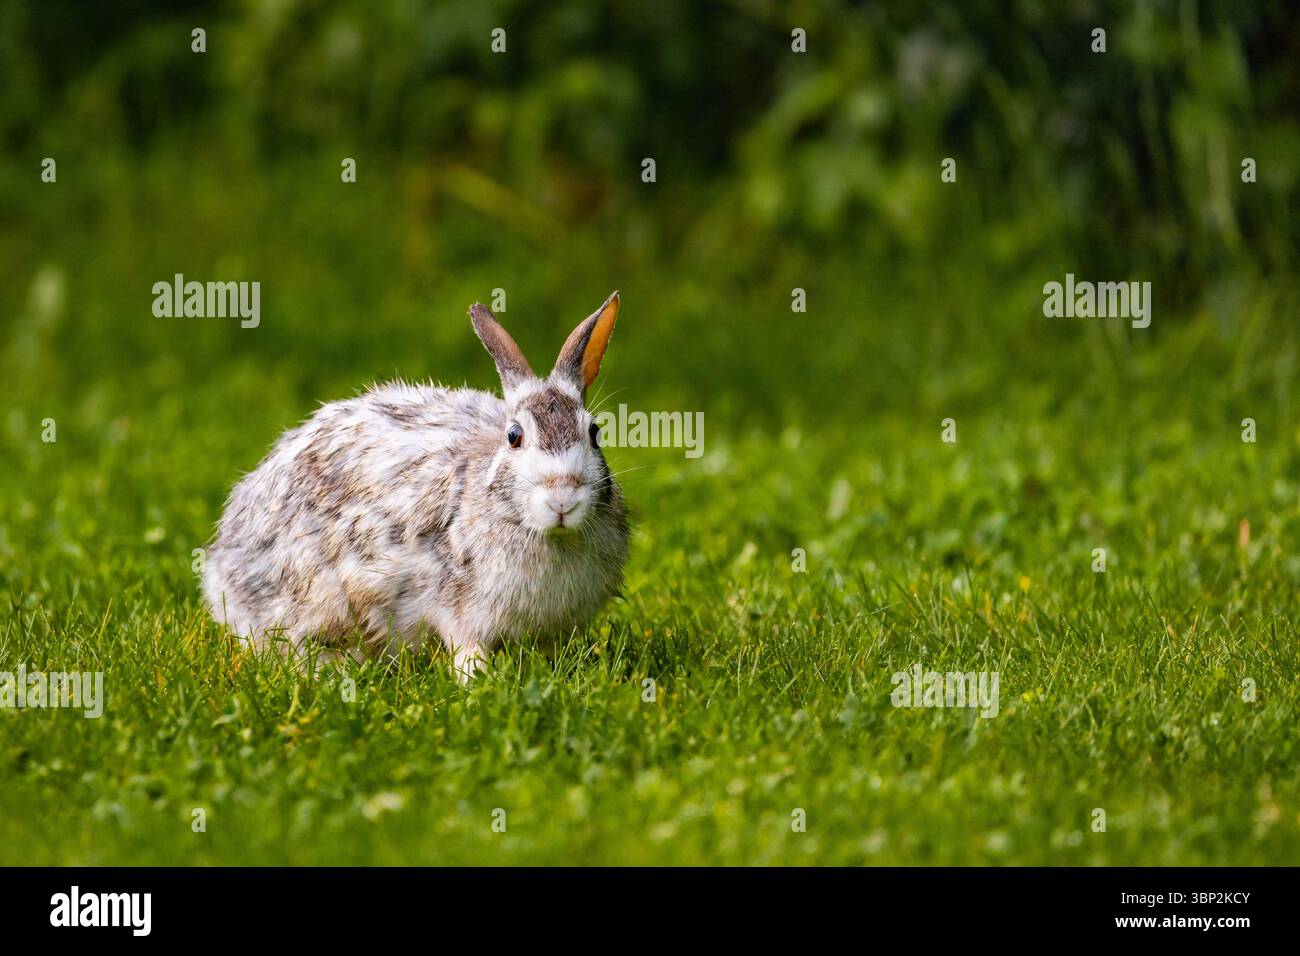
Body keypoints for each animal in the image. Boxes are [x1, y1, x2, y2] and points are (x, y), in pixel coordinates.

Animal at [202, 292, 629, 681]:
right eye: (513, 436)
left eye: (595, 433)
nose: (563, 499)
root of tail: (220, 562)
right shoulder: (457, 608)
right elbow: (466, 649)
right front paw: (477, 682)